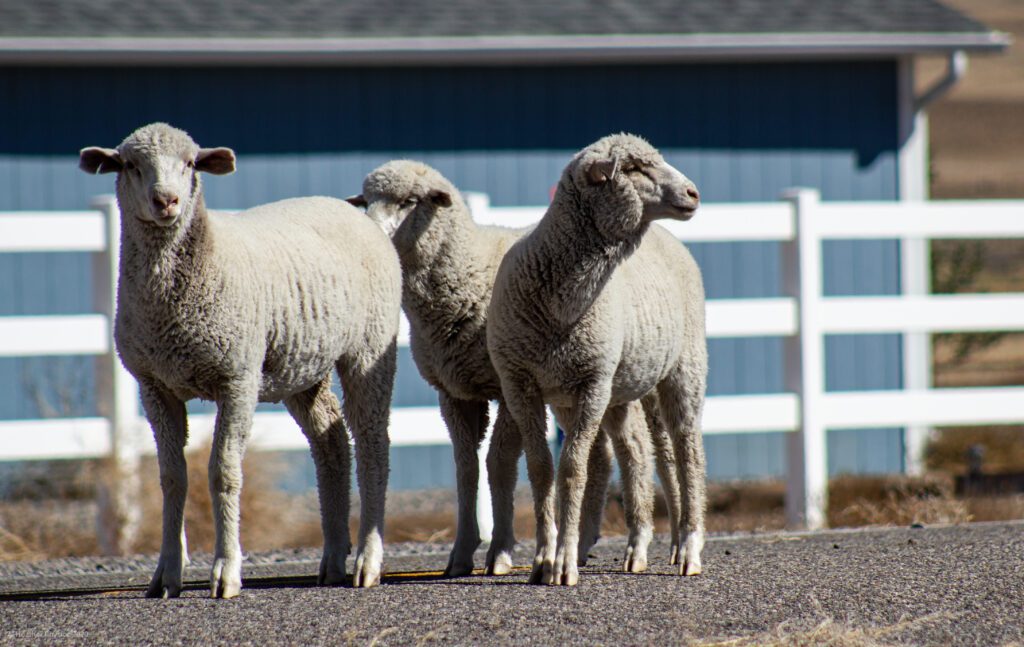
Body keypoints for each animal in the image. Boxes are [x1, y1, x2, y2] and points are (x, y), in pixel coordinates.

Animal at [78, 123, 401, 598]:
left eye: (190, 163)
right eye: (130, 165)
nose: (166, 201)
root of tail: (357, 214)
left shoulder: (238, 378)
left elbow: (223, 473)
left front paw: (226, 571)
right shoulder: (154, 385)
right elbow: (172, 477)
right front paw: (166, 574)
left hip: (370, 348)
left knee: (374, 443)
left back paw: (367, 561)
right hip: (302, 367)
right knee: (332, 441)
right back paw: (332, 560)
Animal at [349, 160, 685, 577]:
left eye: (410, 201)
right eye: (366, 201)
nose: (370, 234)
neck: (469, 270)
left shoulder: (507, 385)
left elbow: (500, 463)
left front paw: (502, 551)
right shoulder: (455, 393)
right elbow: (466, 469)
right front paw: (462, 552)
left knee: (654, 448)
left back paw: (667, 543)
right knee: (604, 454)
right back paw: (584, 542)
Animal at [486, 133, 708, 586]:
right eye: (635, 168)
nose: (693, 193)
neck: (559, 301)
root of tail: (669, 239)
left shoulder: (593, 383)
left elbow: (573, 468)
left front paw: (564, 562)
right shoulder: (521, 384)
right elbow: (541, 468)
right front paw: (543, 558)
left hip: (683, 368)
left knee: (687, 450)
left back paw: (690, 549)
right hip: (617, 388)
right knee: (637, 451)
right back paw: (641, 547)